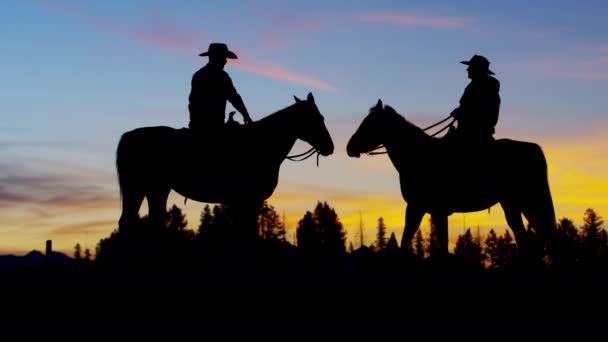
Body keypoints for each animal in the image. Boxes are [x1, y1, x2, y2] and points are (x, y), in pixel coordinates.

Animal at [116, 92, 334, 239]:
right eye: (316, 118)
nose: (329, 147)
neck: (262, 143)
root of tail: (129, 136)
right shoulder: (250, 199)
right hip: (143, 188)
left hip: (153, 190)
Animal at [344, 100, 560, 264]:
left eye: (369, 123)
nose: (349, 147)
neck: (417, 156)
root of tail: (534, 149)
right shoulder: (432, 210)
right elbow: (437, 240)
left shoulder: (418, 207)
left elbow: (411, 238)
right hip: (514, 204)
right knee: (530, 235)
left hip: (528, 200)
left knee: (543, 234)